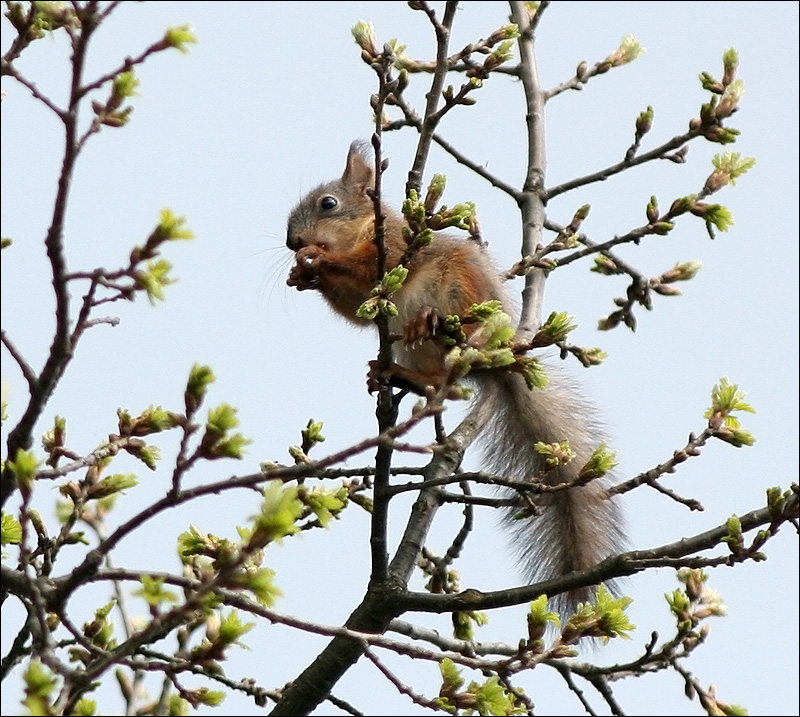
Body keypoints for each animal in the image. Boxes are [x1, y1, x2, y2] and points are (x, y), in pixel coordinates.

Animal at [286, 141, 624, 616]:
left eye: (328, 204)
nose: (293, 242)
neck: (367, 227)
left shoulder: (398, 245)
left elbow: (372, 267)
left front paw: (319, 259)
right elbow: (355, 305)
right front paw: (302, 274)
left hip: (459, 286)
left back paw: (432, 324)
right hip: (419, 347)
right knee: (437, 381)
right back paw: (394, 372)